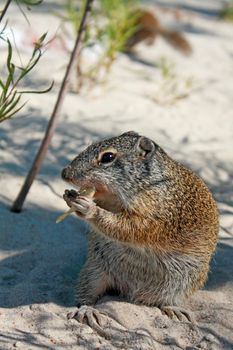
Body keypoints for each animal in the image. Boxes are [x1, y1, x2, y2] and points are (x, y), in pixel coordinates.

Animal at [61, 131, 218, 330]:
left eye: (108, 157)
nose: (64, 173)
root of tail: (130, 292)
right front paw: (70, 197)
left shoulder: (156, 218)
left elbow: (127, 228)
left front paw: (90, 209)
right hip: (93, 272)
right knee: (86, 297)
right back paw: (87, 310)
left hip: (182, 283)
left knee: (163, 301)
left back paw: (173, 308)